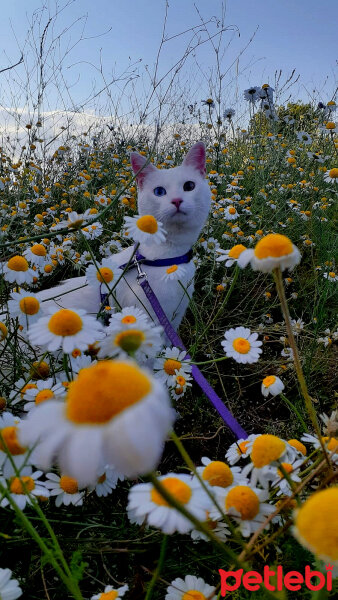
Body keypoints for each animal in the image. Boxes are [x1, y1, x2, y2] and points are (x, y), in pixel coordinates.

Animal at [37, 142, 211, 328]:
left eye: (189, 186)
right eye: (159, 191)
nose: (177, 200)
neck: (169, 257)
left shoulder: (175, 317)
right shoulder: (149, 319)